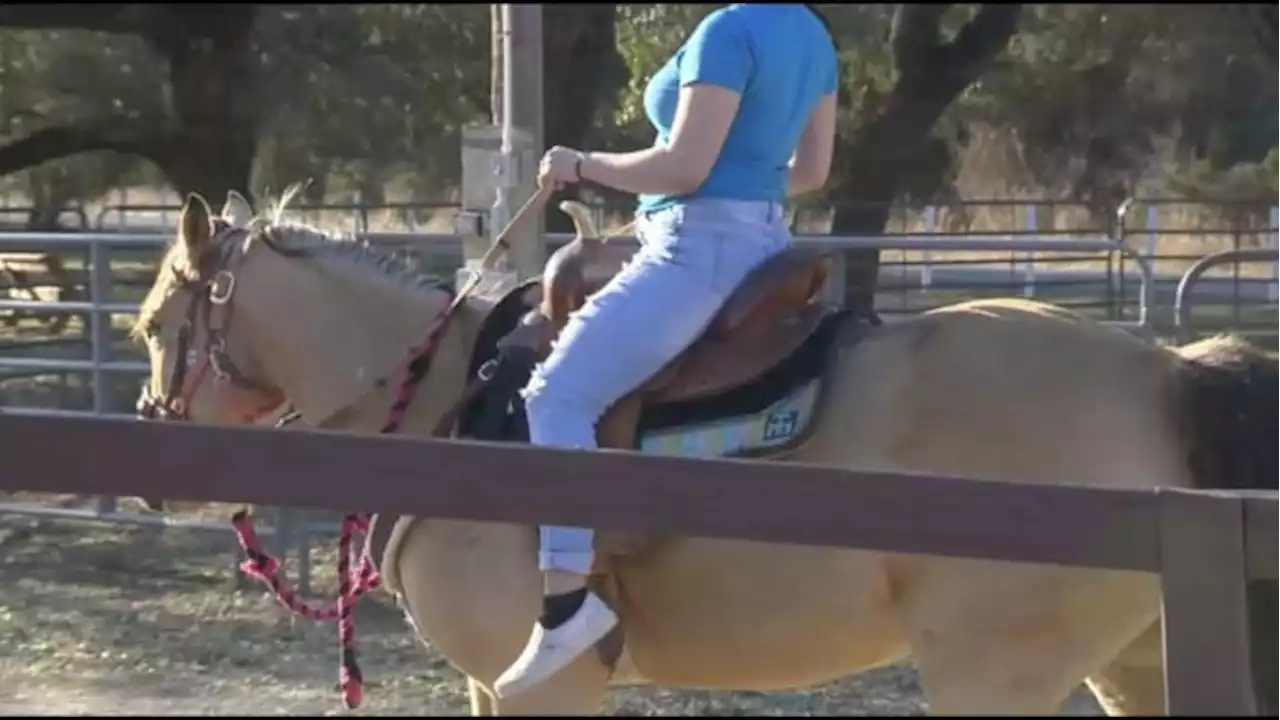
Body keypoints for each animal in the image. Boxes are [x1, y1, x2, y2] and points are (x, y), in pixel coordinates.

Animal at [132, 189, 1280, 712]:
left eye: (150, 325)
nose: (149, 470)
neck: (454, 408)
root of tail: (1166, 370)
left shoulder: (539, 684)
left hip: (995, 673)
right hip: (1133, 663)